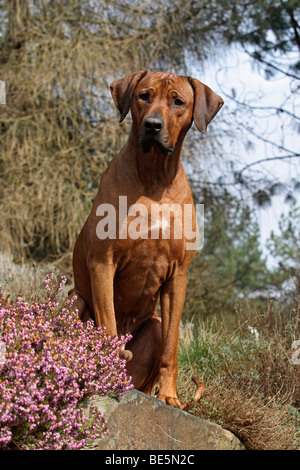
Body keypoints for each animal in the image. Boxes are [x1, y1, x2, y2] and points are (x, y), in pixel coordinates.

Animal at [70, 70, 224, 408]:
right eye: (144, 96)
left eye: (178, 102)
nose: (153, 125)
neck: (155, 179)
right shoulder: (102, 262)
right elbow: (108, 327)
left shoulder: (178, 276)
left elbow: (171, 347)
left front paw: (169, 396)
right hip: (75, 299)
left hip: (152, 327)